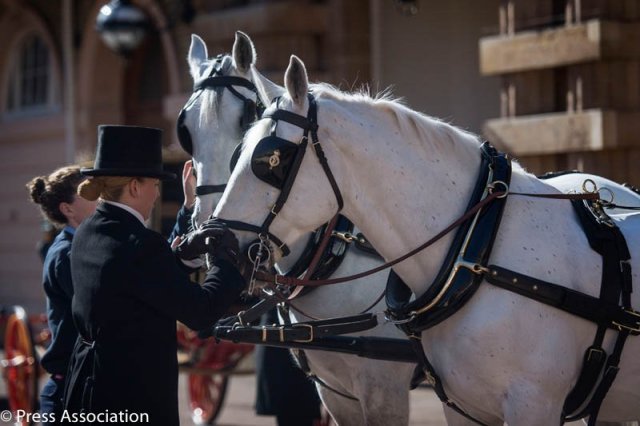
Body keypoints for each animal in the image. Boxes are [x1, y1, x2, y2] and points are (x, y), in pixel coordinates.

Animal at [215, 55, 640, 424]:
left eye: (272, 159)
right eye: (237, 154)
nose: (210, 241)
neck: (476, 249)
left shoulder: (527, 404)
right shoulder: (457, 406)